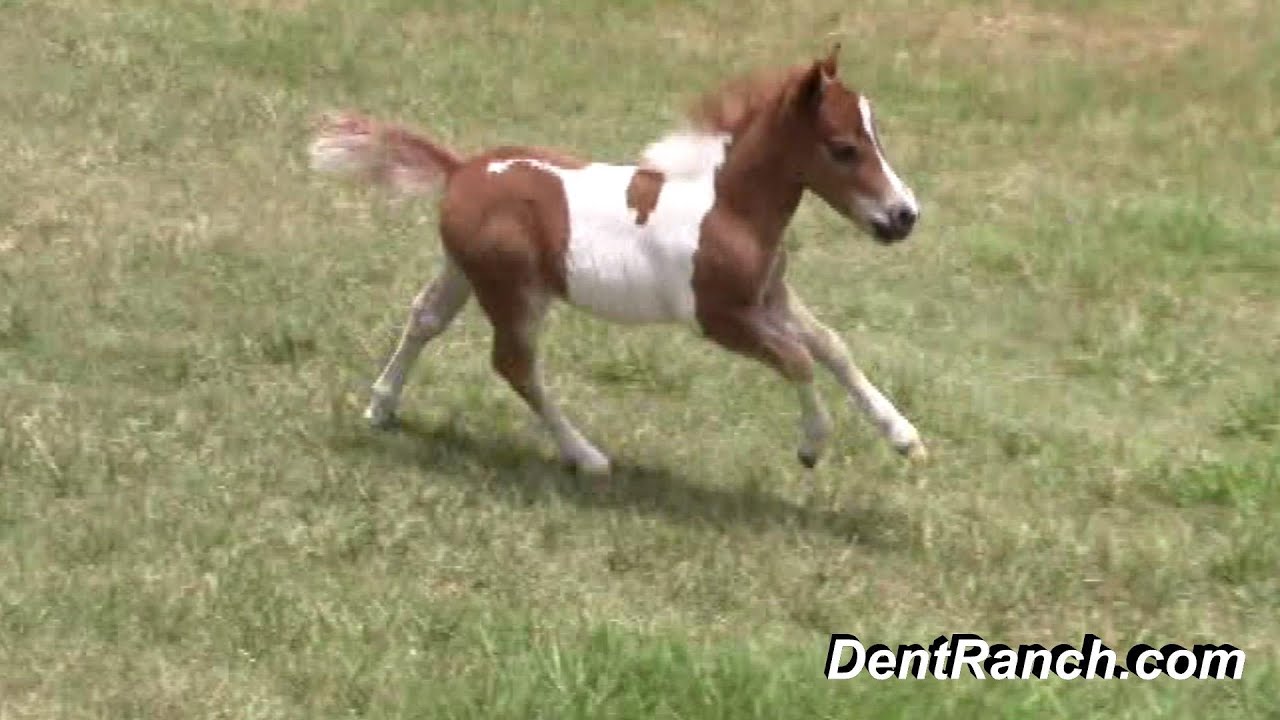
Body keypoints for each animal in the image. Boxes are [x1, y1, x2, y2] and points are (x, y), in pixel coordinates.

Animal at [307, 44, 927, 476]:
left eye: (878, 138)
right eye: (843, 149)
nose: (903, 216)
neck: (727, 207)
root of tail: (462, 170)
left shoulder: (768, 297)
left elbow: (832, 346)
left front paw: (906, 439)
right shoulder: (719, 319)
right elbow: (799, 359)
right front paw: (811, 446)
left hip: (464, 270)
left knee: (424, 319)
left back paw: (381, 407)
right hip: (515, 292)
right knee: (514, 366)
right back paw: (587, 457)